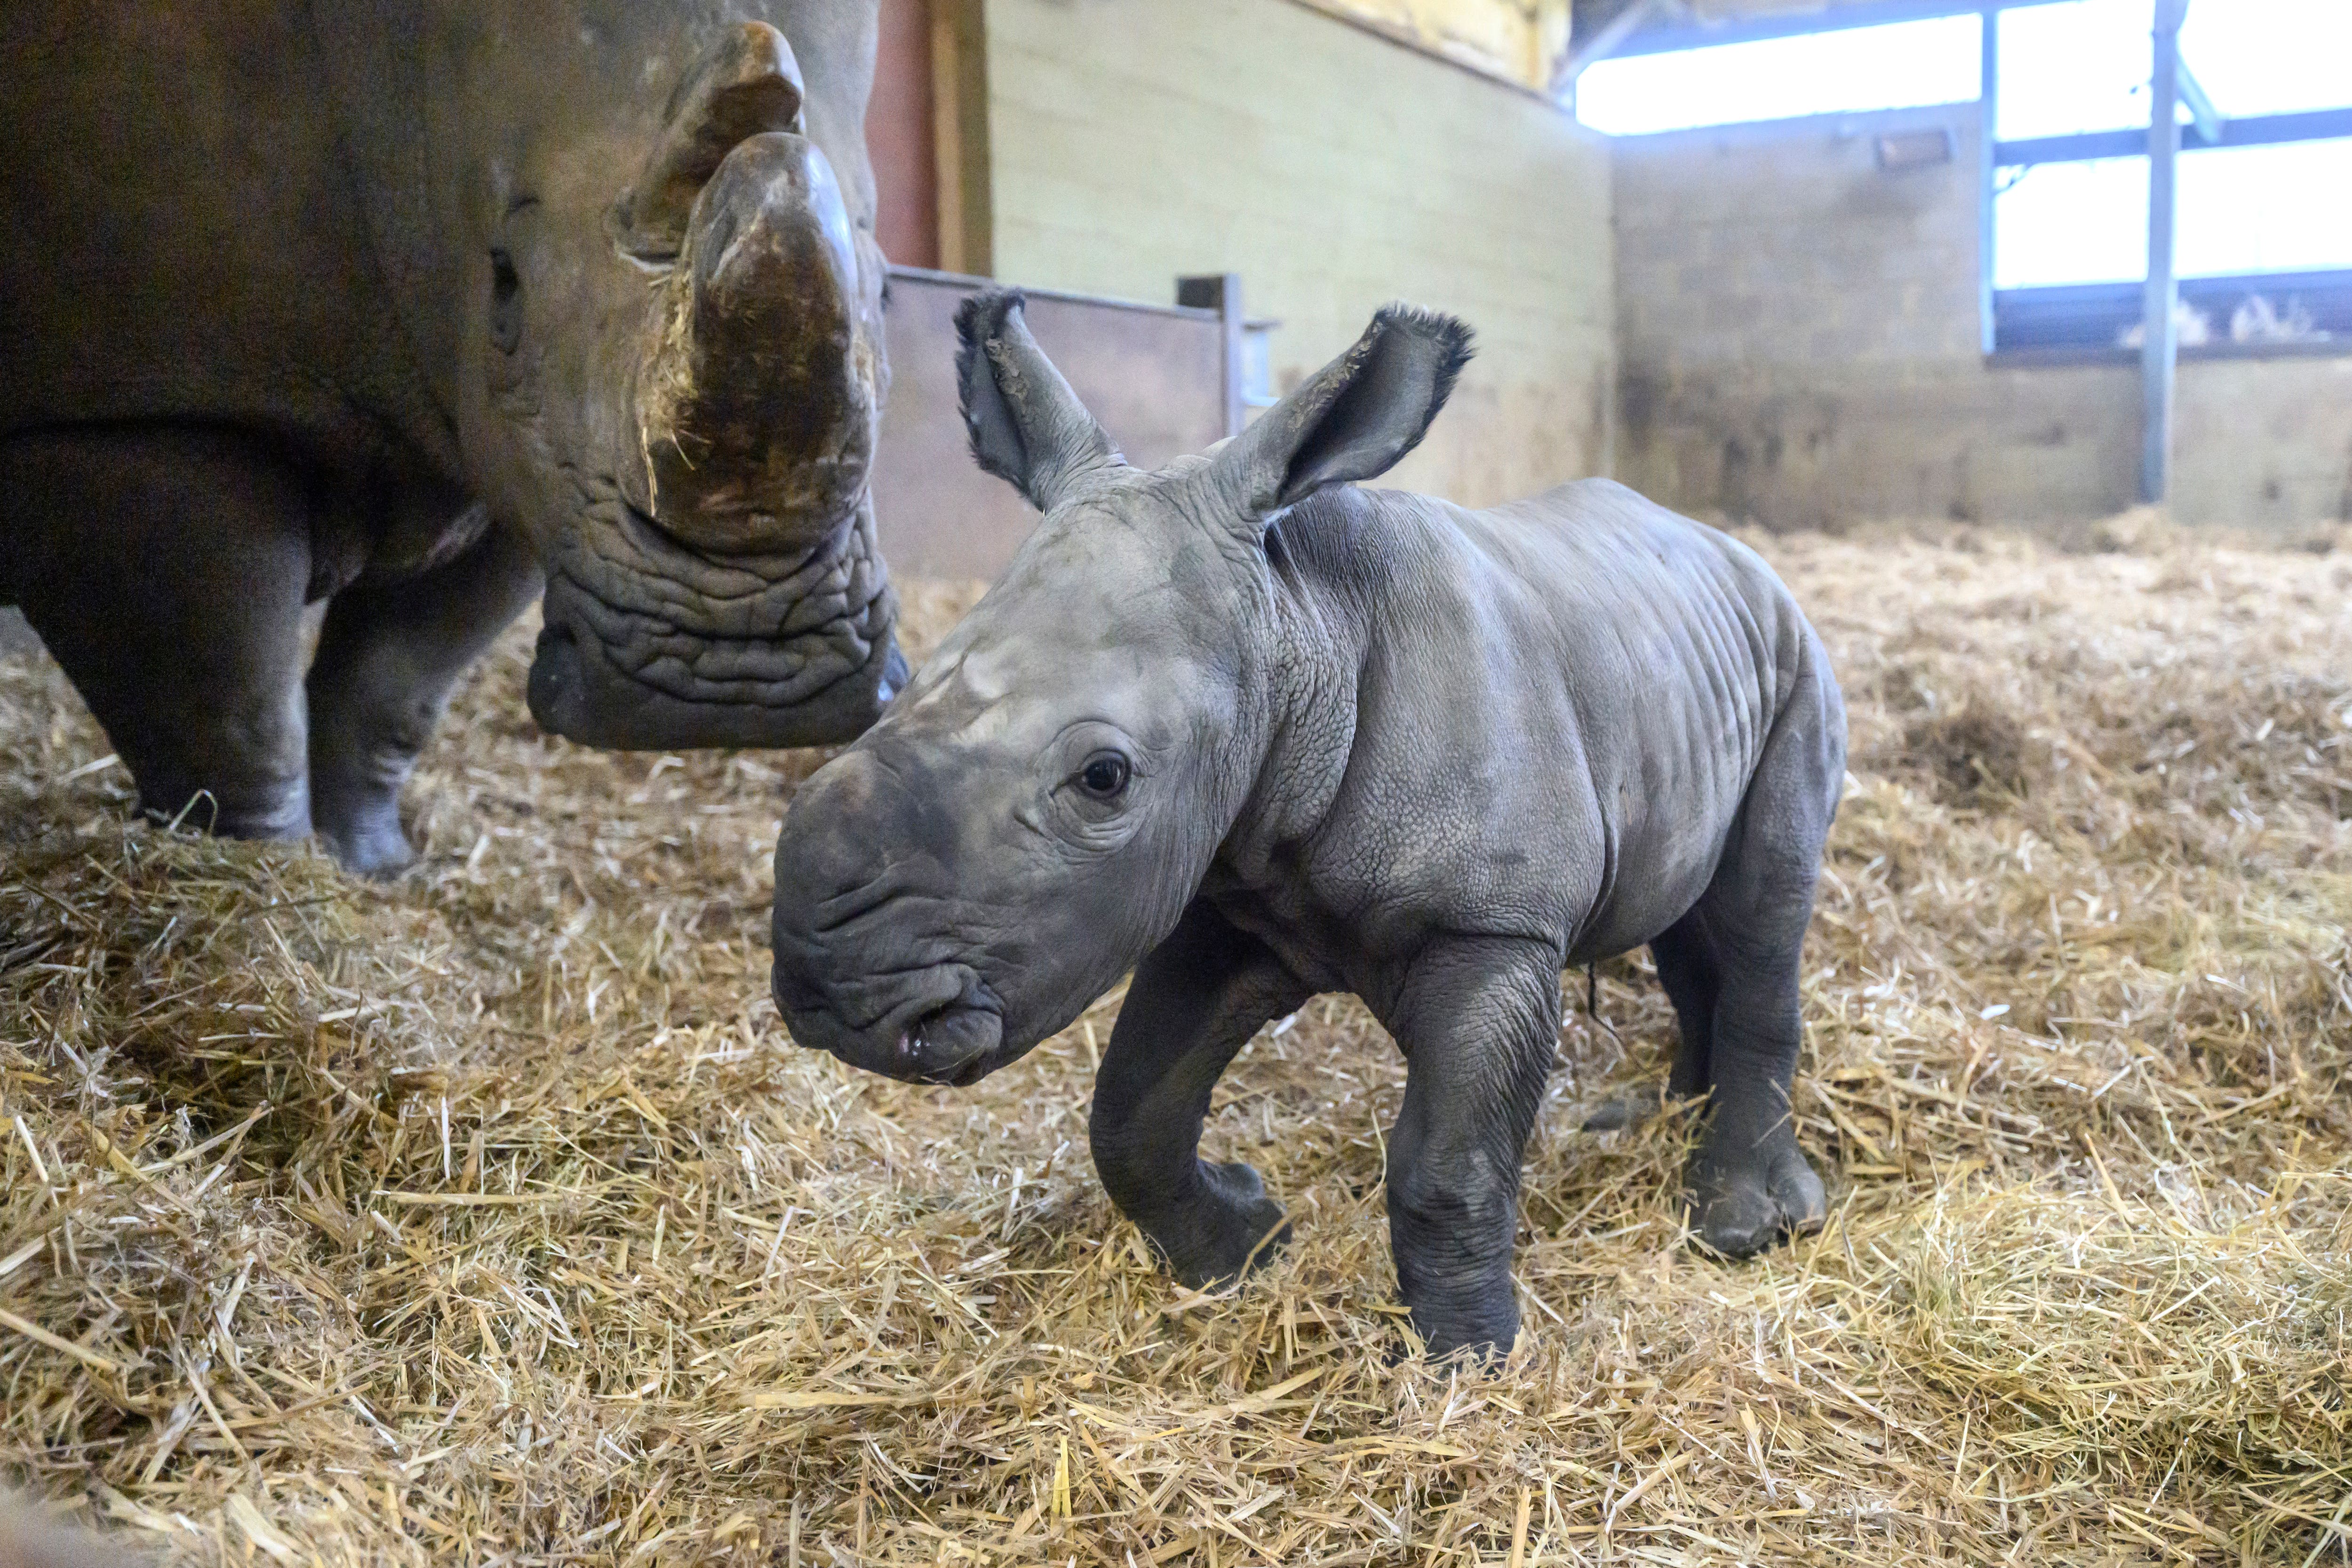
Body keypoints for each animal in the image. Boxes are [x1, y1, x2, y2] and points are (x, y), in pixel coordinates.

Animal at [0, 0, 903, 869]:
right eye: (504, 286)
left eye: (889, 295)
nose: (737, 680)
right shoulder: (137, 406)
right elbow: (230, 713)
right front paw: (261, 873)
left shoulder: (521, 464)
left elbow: (396, 685)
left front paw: (374, 867)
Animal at [781, 294, 1844, 1363]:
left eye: (1103, 778)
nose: (826, 988)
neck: (1300, 625)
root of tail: (1735, 550)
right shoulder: (1235, 895)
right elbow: (1130, 1109)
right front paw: (1244, 1246)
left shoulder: (1494, 922)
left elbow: (1445, 1166)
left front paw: (1471, 1362)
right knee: (1684, 913)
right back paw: (1658, 1117)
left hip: (1798, 658)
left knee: (1762, 908)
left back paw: (1740, 1224)